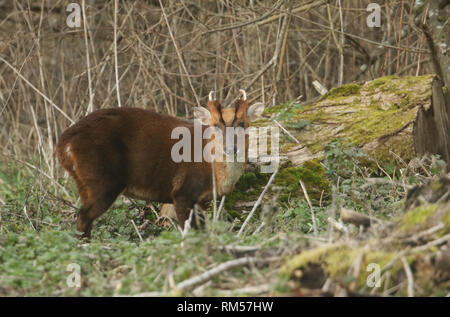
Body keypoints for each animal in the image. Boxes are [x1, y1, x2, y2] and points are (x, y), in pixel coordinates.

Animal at [57, 89, 266, 237]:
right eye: (215, 125)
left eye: (242, 124)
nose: (230, 148)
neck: (213, 171)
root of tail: (63, 144)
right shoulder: (182, 191)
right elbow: (189, 232)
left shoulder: (201, 200)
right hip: (100, 179)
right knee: (83, 217)